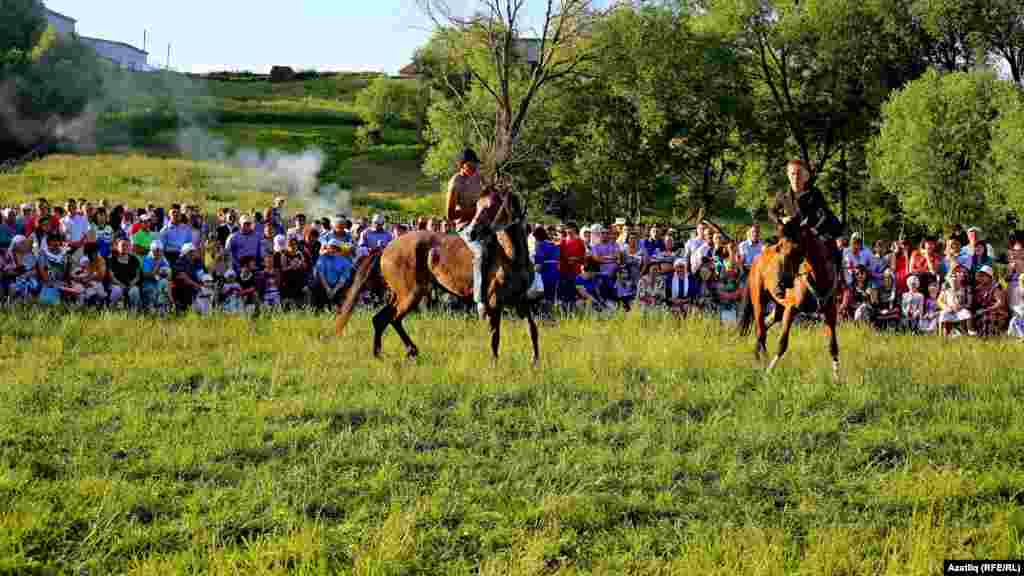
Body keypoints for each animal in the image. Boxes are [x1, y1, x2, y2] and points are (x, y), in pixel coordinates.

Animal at [337, 191, 544, 362]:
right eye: (479, 206)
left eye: (492, 206)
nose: (472, 232)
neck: (511, 256)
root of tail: (387, 247)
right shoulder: (494, 303)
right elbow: (495, 336)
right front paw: (494, 363)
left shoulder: (521, 300)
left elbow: (532, 329)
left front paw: (535, 361)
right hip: (411, 294)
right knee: (393, 319)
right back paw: (409, 351)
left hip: (401, 294)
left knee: (381, 319)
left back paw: (381, 354)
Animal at [741, 222, 843, 379]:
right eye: (780, 247)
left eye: (797, 249)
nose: (781, 284)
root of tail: (757, 260)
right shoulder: (791, 309)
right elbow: (782, 343)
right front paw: (769, 372)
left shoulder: (830, 311)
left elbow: (833, 346)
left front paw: (837, 379)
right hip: (759, 301)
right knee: (761, 330)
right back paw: (763, 361)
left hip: (778, 307)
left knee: (765, 324)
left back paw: (757, 356)